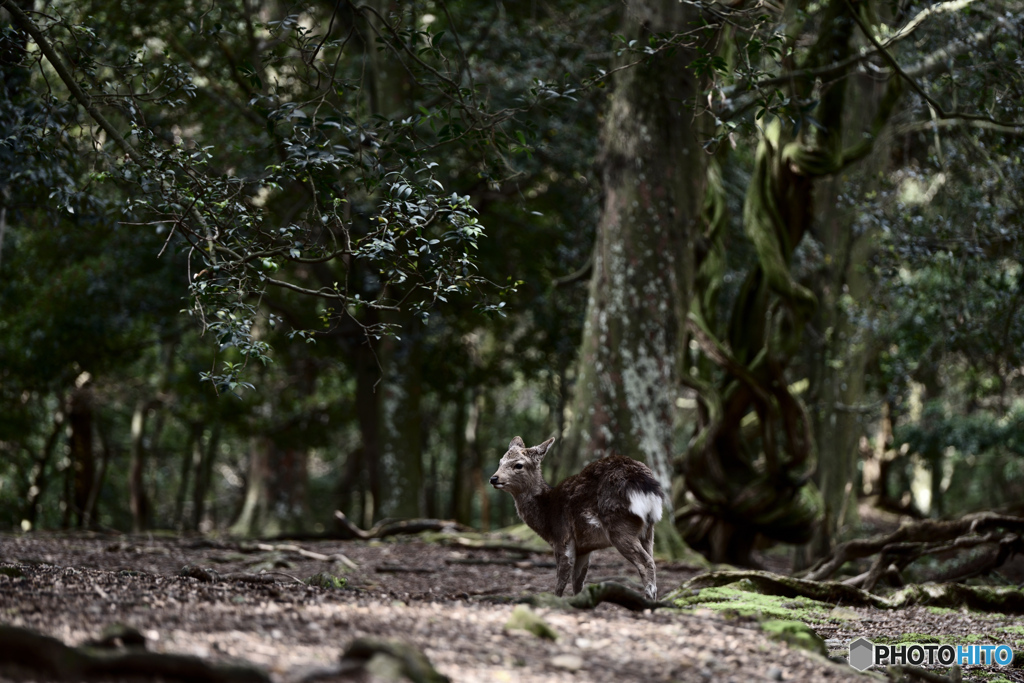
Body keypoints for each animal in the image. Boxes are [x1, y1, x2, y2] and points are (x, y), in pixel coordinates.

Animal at [487, 436, 663, 602]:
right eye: (500, 462)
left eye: (518, 465)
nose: (494, 478)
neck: (547, 516)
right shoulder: (584, 547)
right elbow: (578, 581)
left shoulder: (562, 538)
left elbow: (561, 580)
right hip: (648, 530)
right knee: (651, 558)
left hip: (619, 525)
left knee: (646, 562)